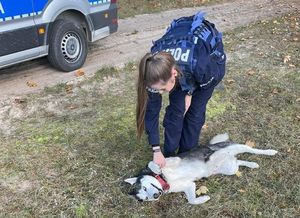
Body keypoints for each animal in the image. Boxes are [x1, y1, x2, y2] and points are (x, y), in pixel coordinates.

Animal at [123, 133, 276, 204]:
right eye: (145, 199)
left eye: (144, 187)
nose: (155, 196)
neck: (165, 180)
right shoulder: (189, 185)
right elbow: (192, 201)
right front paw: (204, 198)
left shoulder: (174, 159)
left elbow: (152, 163)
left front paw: (156, 167)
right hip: (230, 168)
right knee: (239, 161)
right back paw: (252, 164)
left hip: (237, 148)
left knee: (253, 150)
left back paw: (270, 151)